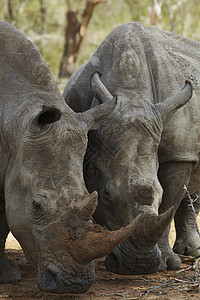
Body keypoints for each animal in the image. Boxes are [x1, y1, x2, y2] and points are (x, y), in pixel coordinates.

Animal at [63, 22, 200, 276]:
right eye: (107, 193)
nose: (138, 266)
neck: (130, 92)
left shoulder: (178, 154)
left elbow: (169, 201)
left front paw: (166, 264)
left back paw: (189, 253)